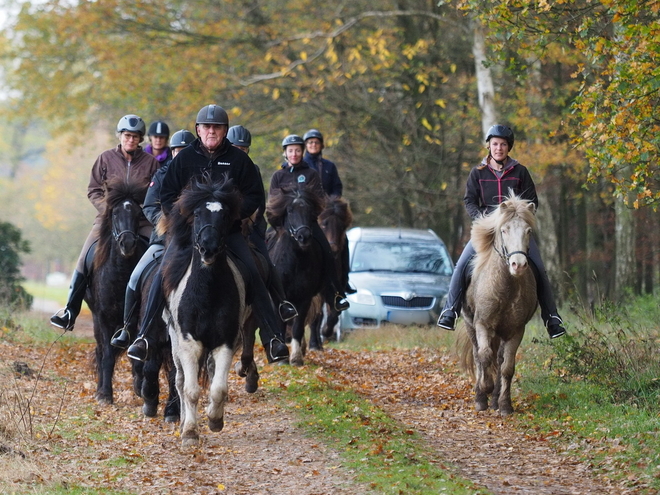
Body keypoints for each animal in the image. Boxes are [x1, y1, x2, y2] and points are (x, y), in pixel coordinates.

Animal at [85, 180, 148, 404]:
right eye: (114, 214)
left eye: (138, 214)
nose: (127, 244)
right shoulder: (103, 317)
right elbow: (108, 355)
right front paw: (105, 394)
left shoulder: (135, 317)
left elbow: (134, 353)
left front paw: (139, 386)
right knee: (101, 351)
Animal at [159, 176, 258, 448]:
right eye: (196, 214)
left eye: (224, 215)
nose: (208, 249)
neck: (207, 293)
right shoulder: (189, 343)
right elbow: (191, 390)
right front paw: (190, 433)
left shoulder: (225, 342)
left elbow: (218, 388)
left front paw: (215, 420)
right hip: (175, 344)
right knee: (181, 382)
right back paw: (183, 421)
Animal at [266, 186, 326, 364]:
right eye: (290, 210)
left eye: (310, 211)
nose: (303, 236)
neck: (295, 262)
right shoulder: (278, 299)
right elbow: (280, 323)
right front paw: (281, 357)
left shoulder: (305, 298)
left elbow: (298, 326)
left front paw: (296, 357)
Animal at [308, 194, 350, 348]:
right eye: (324, 223)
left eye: (342, 226)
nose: (333, 249)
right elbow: (316, 316)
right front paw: (314, 343)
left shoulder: (334, 290)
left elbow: (333, 314)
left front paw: (326, 332)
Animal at [456, 194, 540, 414]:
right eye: (504, 230)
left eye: (528, 231)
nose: (518, 265)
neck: (505, 288)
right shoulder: (482, 324)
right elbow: (484, 356)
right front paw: (484, 390)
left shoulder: (516, 330)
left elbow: (507, 367)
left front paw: (504, 404)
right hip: (470, 324)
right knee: (479, 355)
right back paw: (481, 397)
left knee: (499, 358)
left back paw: (494, 399)